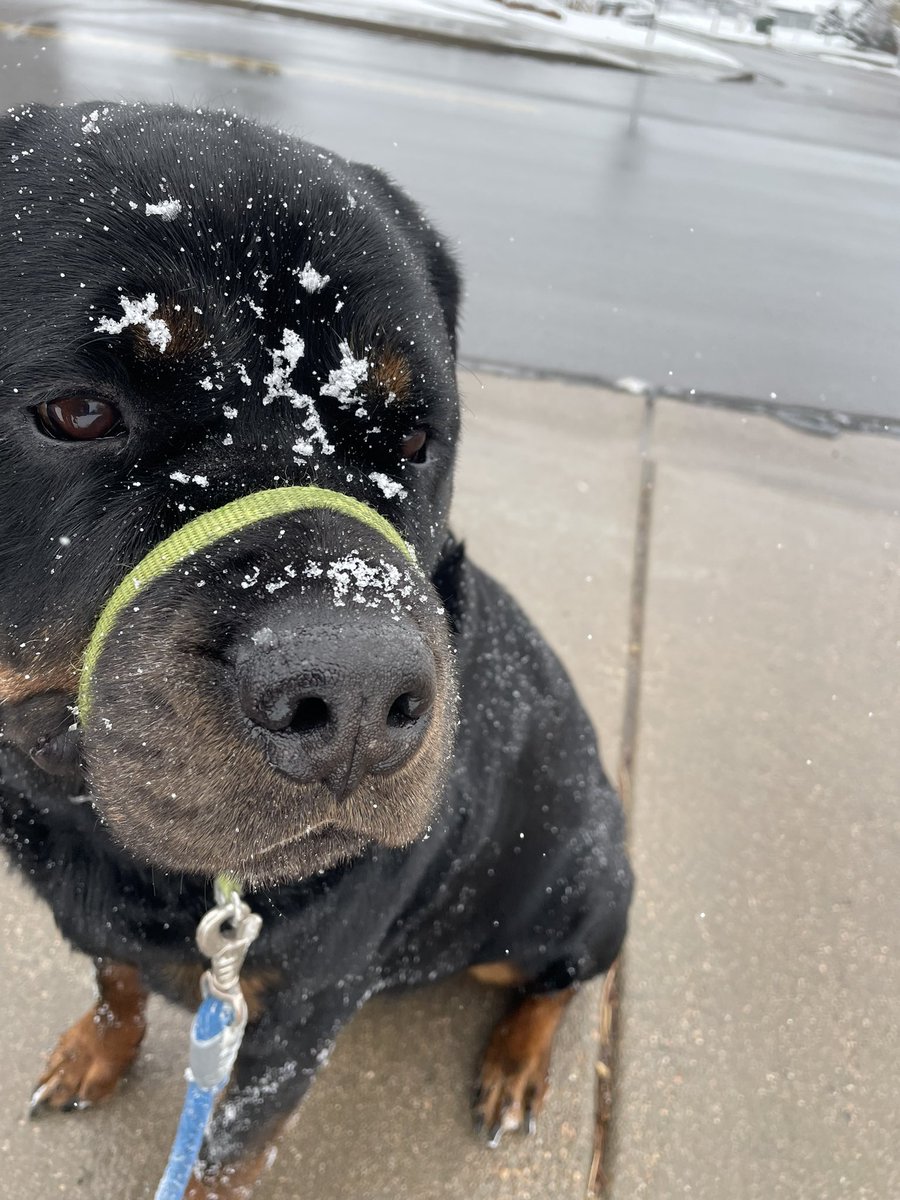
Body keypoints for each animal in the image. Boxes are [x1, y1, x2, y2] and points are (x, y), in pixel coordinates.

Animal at [0, 105, 633, 1200]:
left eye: (415, 438)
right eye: (76, 411)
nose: (357, 696)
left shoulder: (297, 1012)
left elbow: (223, 1152)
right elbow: (115, 976)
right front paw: (95, 1049)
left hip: (585, 889)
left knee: (555, 980)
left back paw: (517, 1064)